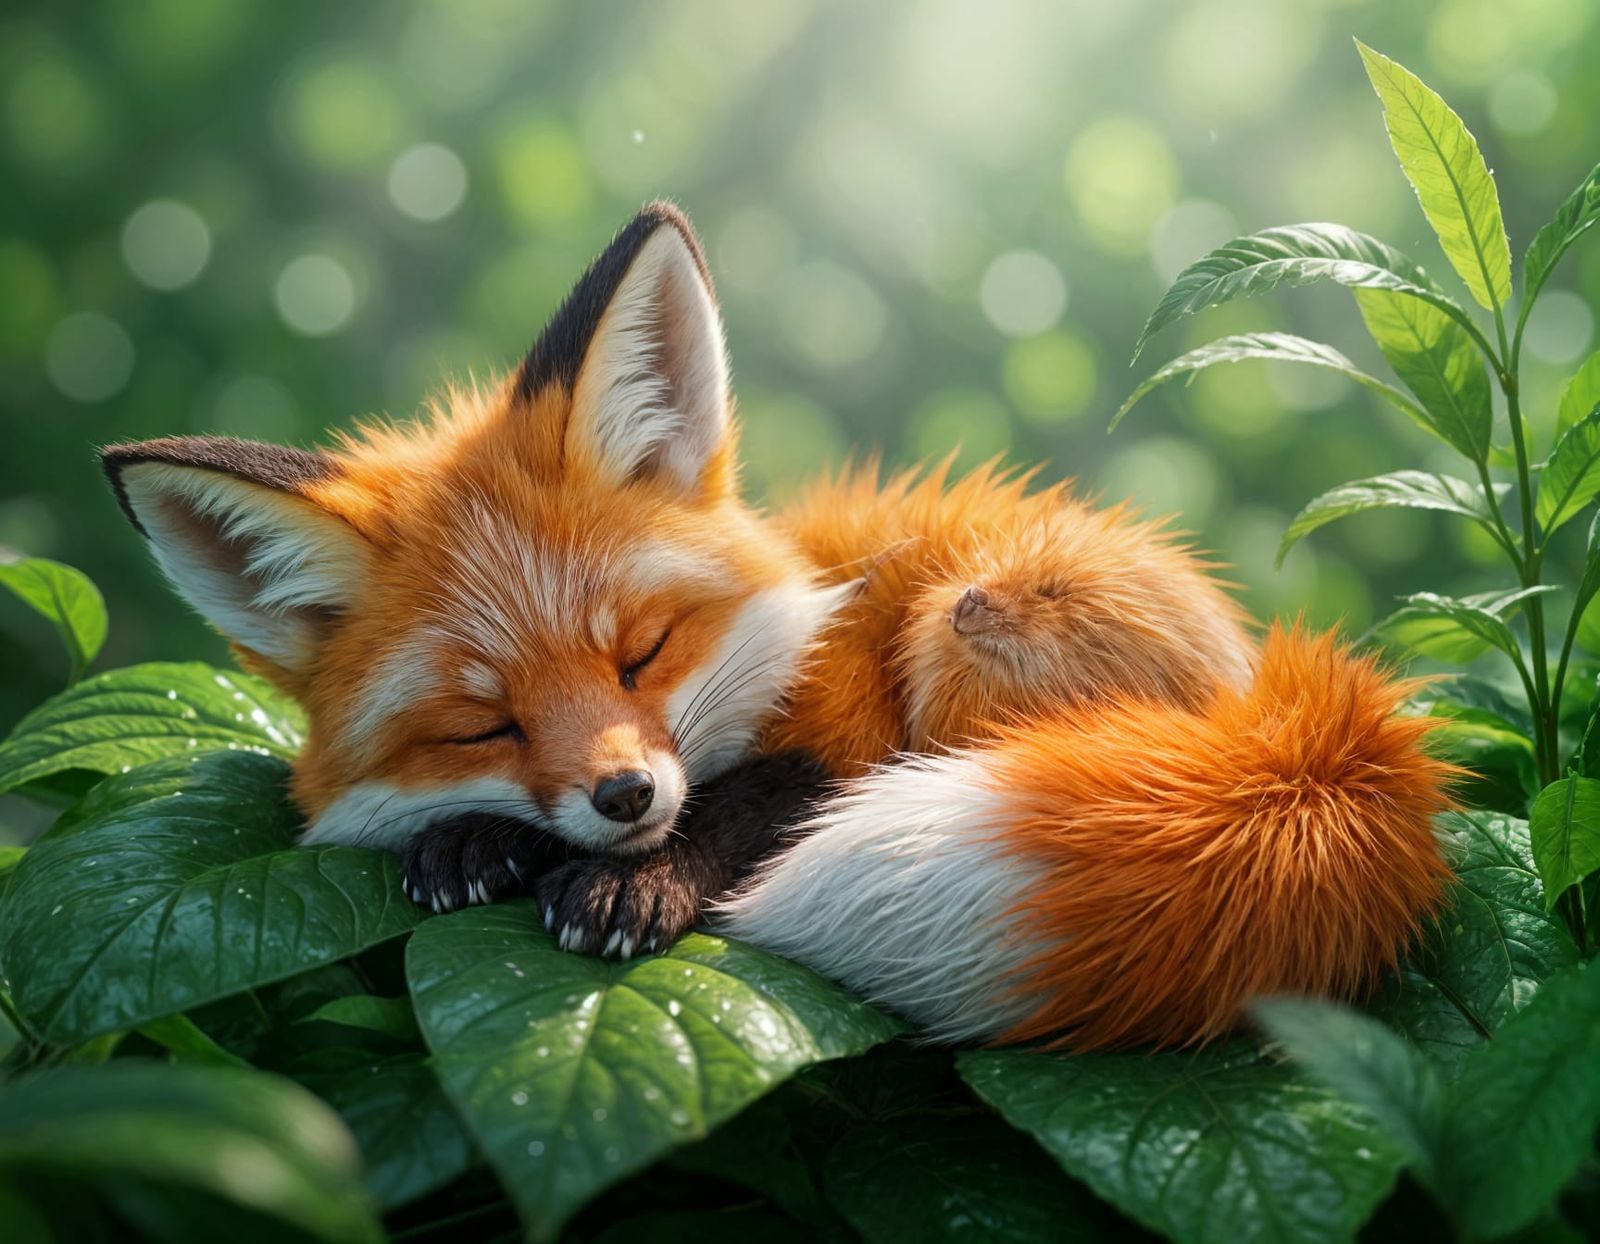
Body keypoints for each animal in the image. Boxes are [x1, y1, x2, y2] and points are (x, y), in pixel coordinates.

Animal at [101, 202, 1453, 1049]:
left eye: (641, 650)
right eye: (483, 724)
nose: (623, 798)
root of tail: (1284, 710)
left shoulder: (845, 720)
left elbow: (757, 801)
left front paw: (634, 881)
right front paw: (477, 840)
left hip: (964, 621)